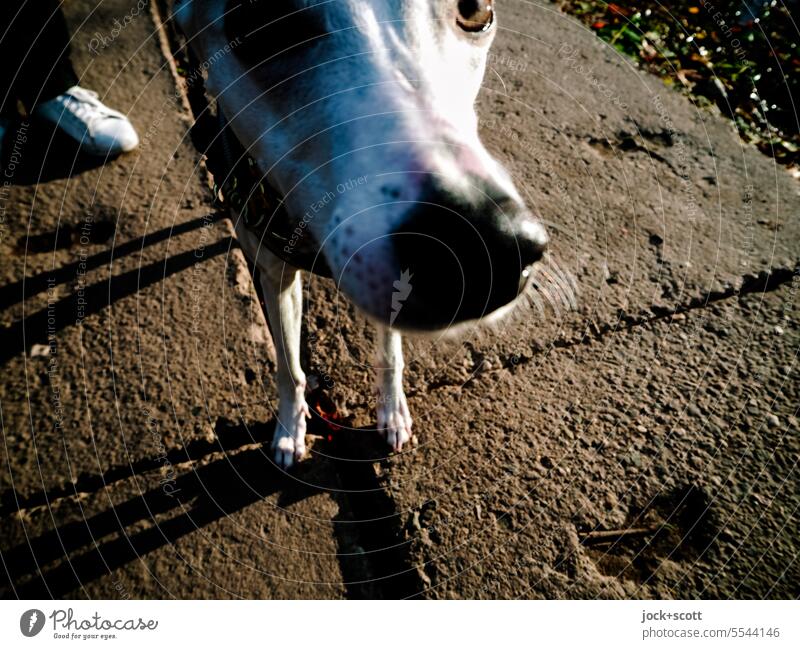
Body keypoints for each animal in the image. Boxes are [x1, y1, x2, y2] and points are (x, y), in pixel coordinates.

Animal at [177, 0, 548, 466]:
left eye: (475, 9)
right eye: (258, 18)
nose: (486, 249)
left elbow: (389, 351)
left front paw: (392, 411)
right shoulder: (276, 277)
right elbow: (289, 369)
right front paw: (290, 429)